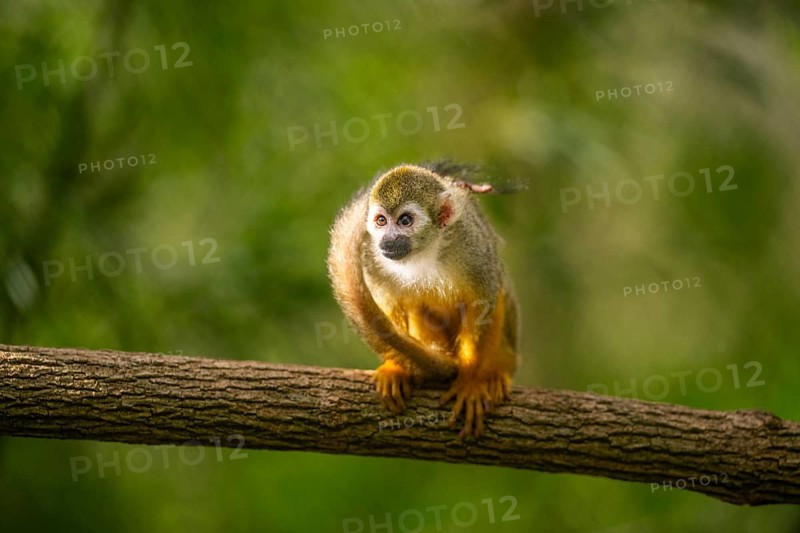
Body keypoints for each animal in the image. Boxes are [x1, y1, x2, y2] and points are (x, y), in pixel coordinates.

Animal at [327, 162, 519, 438]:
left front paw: (472, 381)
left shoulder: (474, 245)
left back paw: (495, 372)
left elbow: (484, 303)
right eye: (381, 221)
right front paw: (396, 368)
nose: (388, 239)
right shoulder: (372, 255)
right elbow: (391, 304)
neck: (426, 250)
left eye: (405, 220)